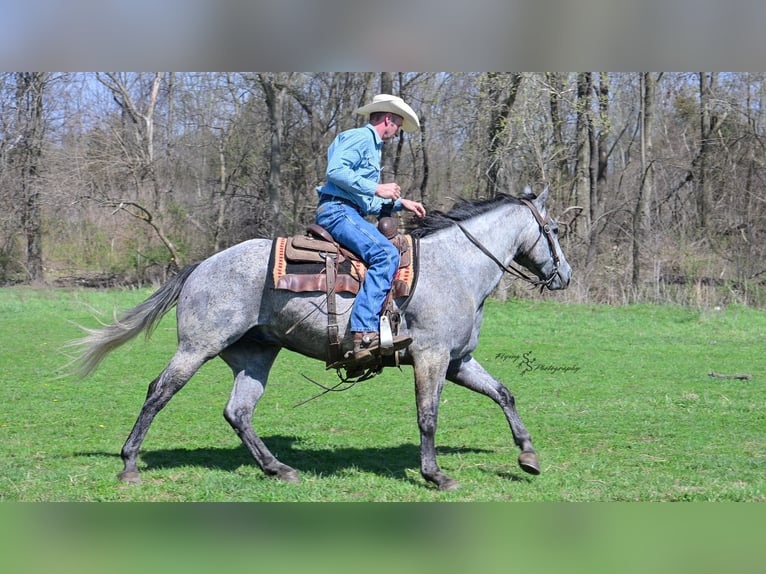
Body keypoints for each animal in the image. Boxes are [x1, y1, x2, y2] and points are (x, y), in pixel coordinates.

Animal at [70, 185, 571, 491]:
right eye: (554, 230)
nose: (565, 275)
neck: (457, 268)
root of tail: (200, 266)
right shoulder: (431, 357)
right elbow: (428, 417)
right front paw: (435, 475)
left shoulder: (457, 361)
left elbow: (503, 393)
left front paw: (528, 456)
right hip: (197, 347)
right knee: (159, 392)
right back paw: (130, 464)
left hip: (255, 356)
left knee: (239, 411)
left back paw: (278, 468)